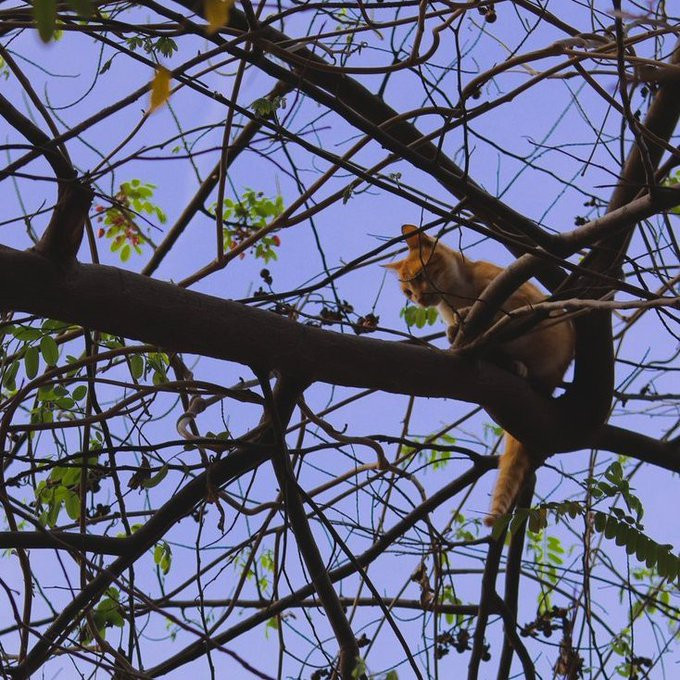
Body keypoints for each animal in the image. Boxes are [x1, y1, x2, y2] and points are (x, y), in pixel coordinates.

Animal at [388, 223, 572, 524]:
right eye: (406, 292)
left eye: (420, 276)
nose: (418, 299)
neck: (455, 294)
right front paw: (455, 330)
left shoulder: (521, 298)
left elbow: (504, 313)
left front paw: (466, 315)